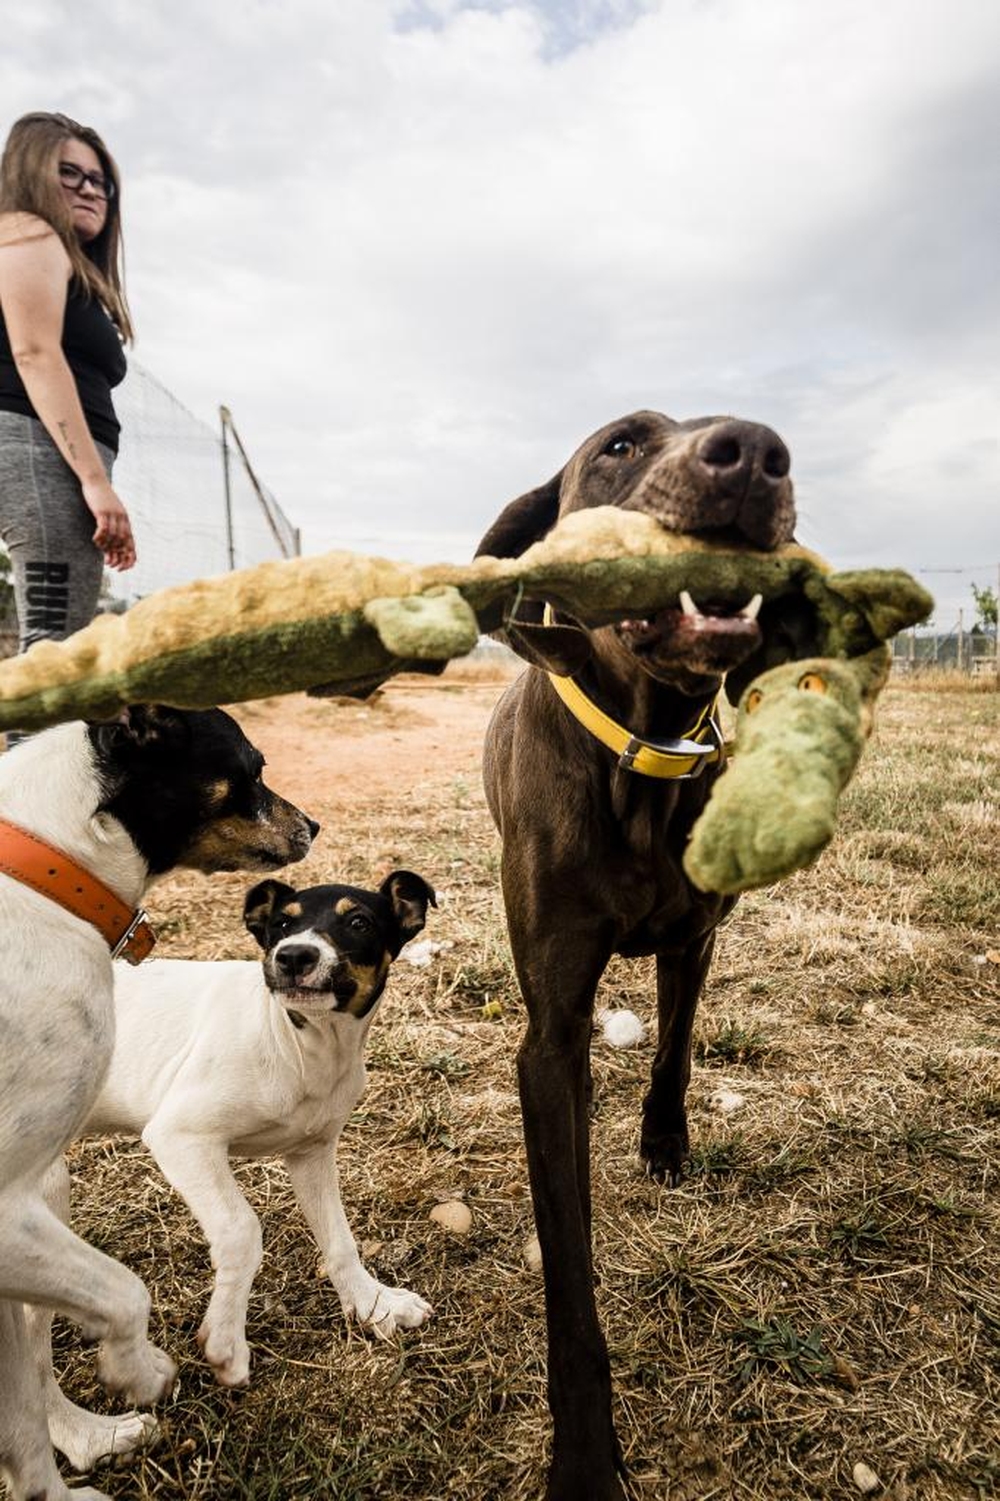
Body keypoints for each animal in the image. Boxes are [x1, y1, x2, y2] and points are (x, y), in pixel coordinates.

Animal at [0, 705, 315, 1501]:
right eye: (253, 767)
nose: (314, 825)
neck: (45, 865)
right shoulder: (3, 1211)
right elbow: (125, 1291)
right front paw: (139, 1370)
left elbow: (20, 1414)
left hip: (50, 1190)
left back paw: (89, 1437)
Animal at [75, 876, 435, 1386]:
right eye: (281, 924)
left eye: (359, 922)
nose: (294, 956)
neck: (300, 1044)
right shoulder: (182, 1137)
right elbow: (241, 1231)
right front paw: (226, 1340)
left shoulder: (312, 1153)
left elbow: (339, 1239)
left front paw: (373, 1304)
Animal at [474, 411, 792, 1501]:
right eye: (619, 446)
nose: (757, 451)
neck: (645, 752)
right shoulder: (550, 1039)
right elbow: (570, 1276)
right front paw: (582, 1458)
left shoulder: (695, 940)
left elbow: (675, 1050)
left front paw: (663, 1141)